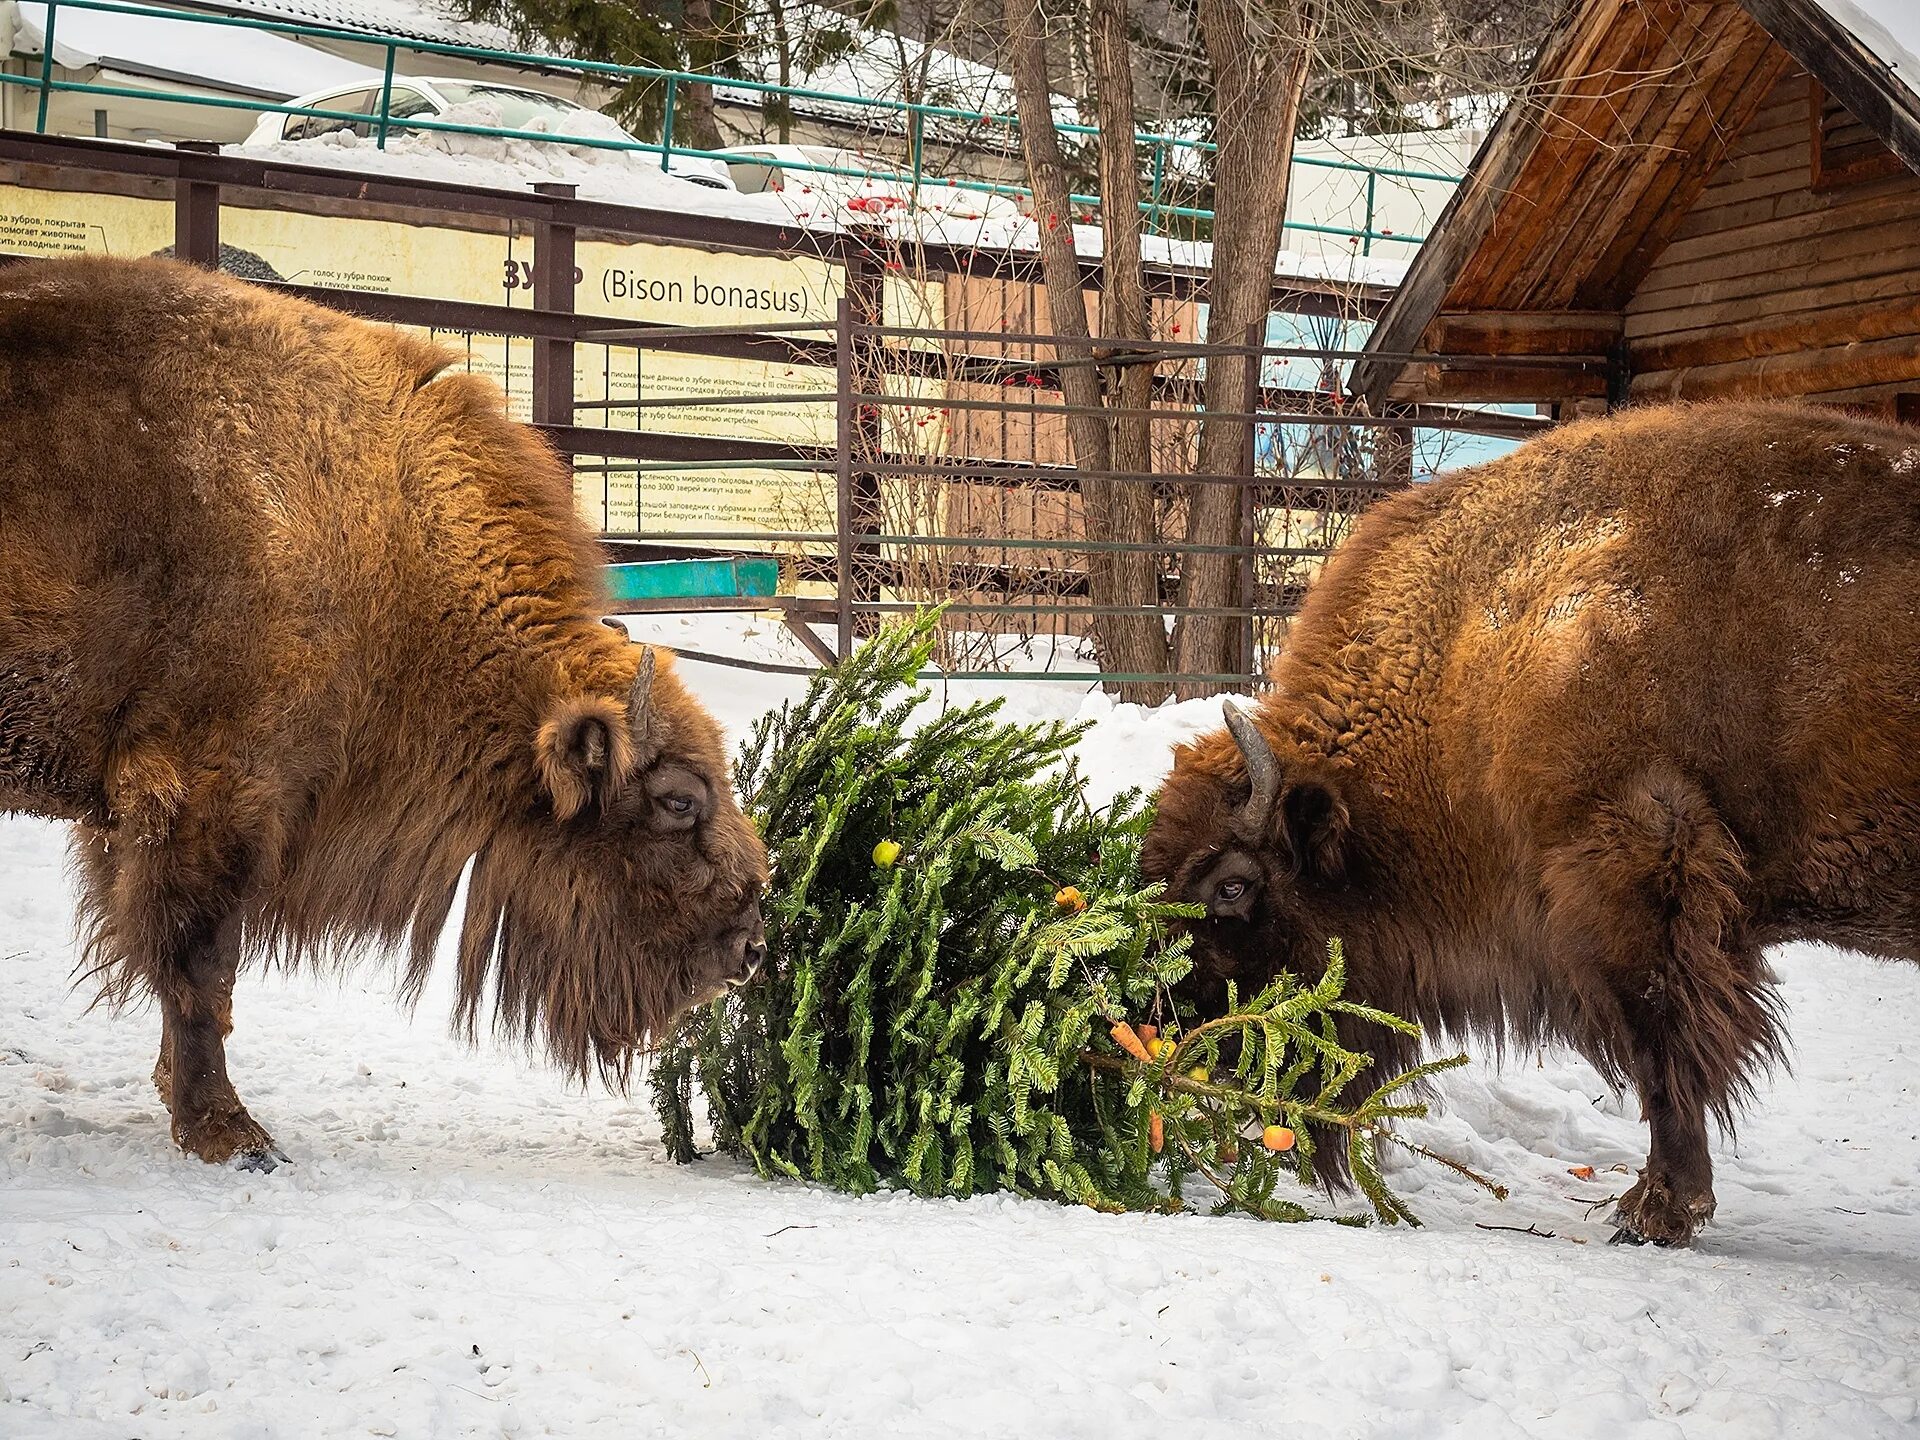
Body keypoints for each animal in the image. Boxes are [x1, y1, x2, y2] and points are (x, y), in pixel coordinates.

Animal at [0, 257, 764, 1175]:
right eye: (678, 800)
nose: (754, 942)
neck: (388, 544)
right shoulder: (215, 798)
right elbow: (200, 966)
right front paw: (232, 1135)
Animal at [1136, 401, 1920, 1244]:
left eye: (1232, 886)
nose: (1158, 1024)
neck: (1475, 659)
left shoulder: (1633, 879)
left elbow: (1663, 1042)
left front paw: (1656, 1210)